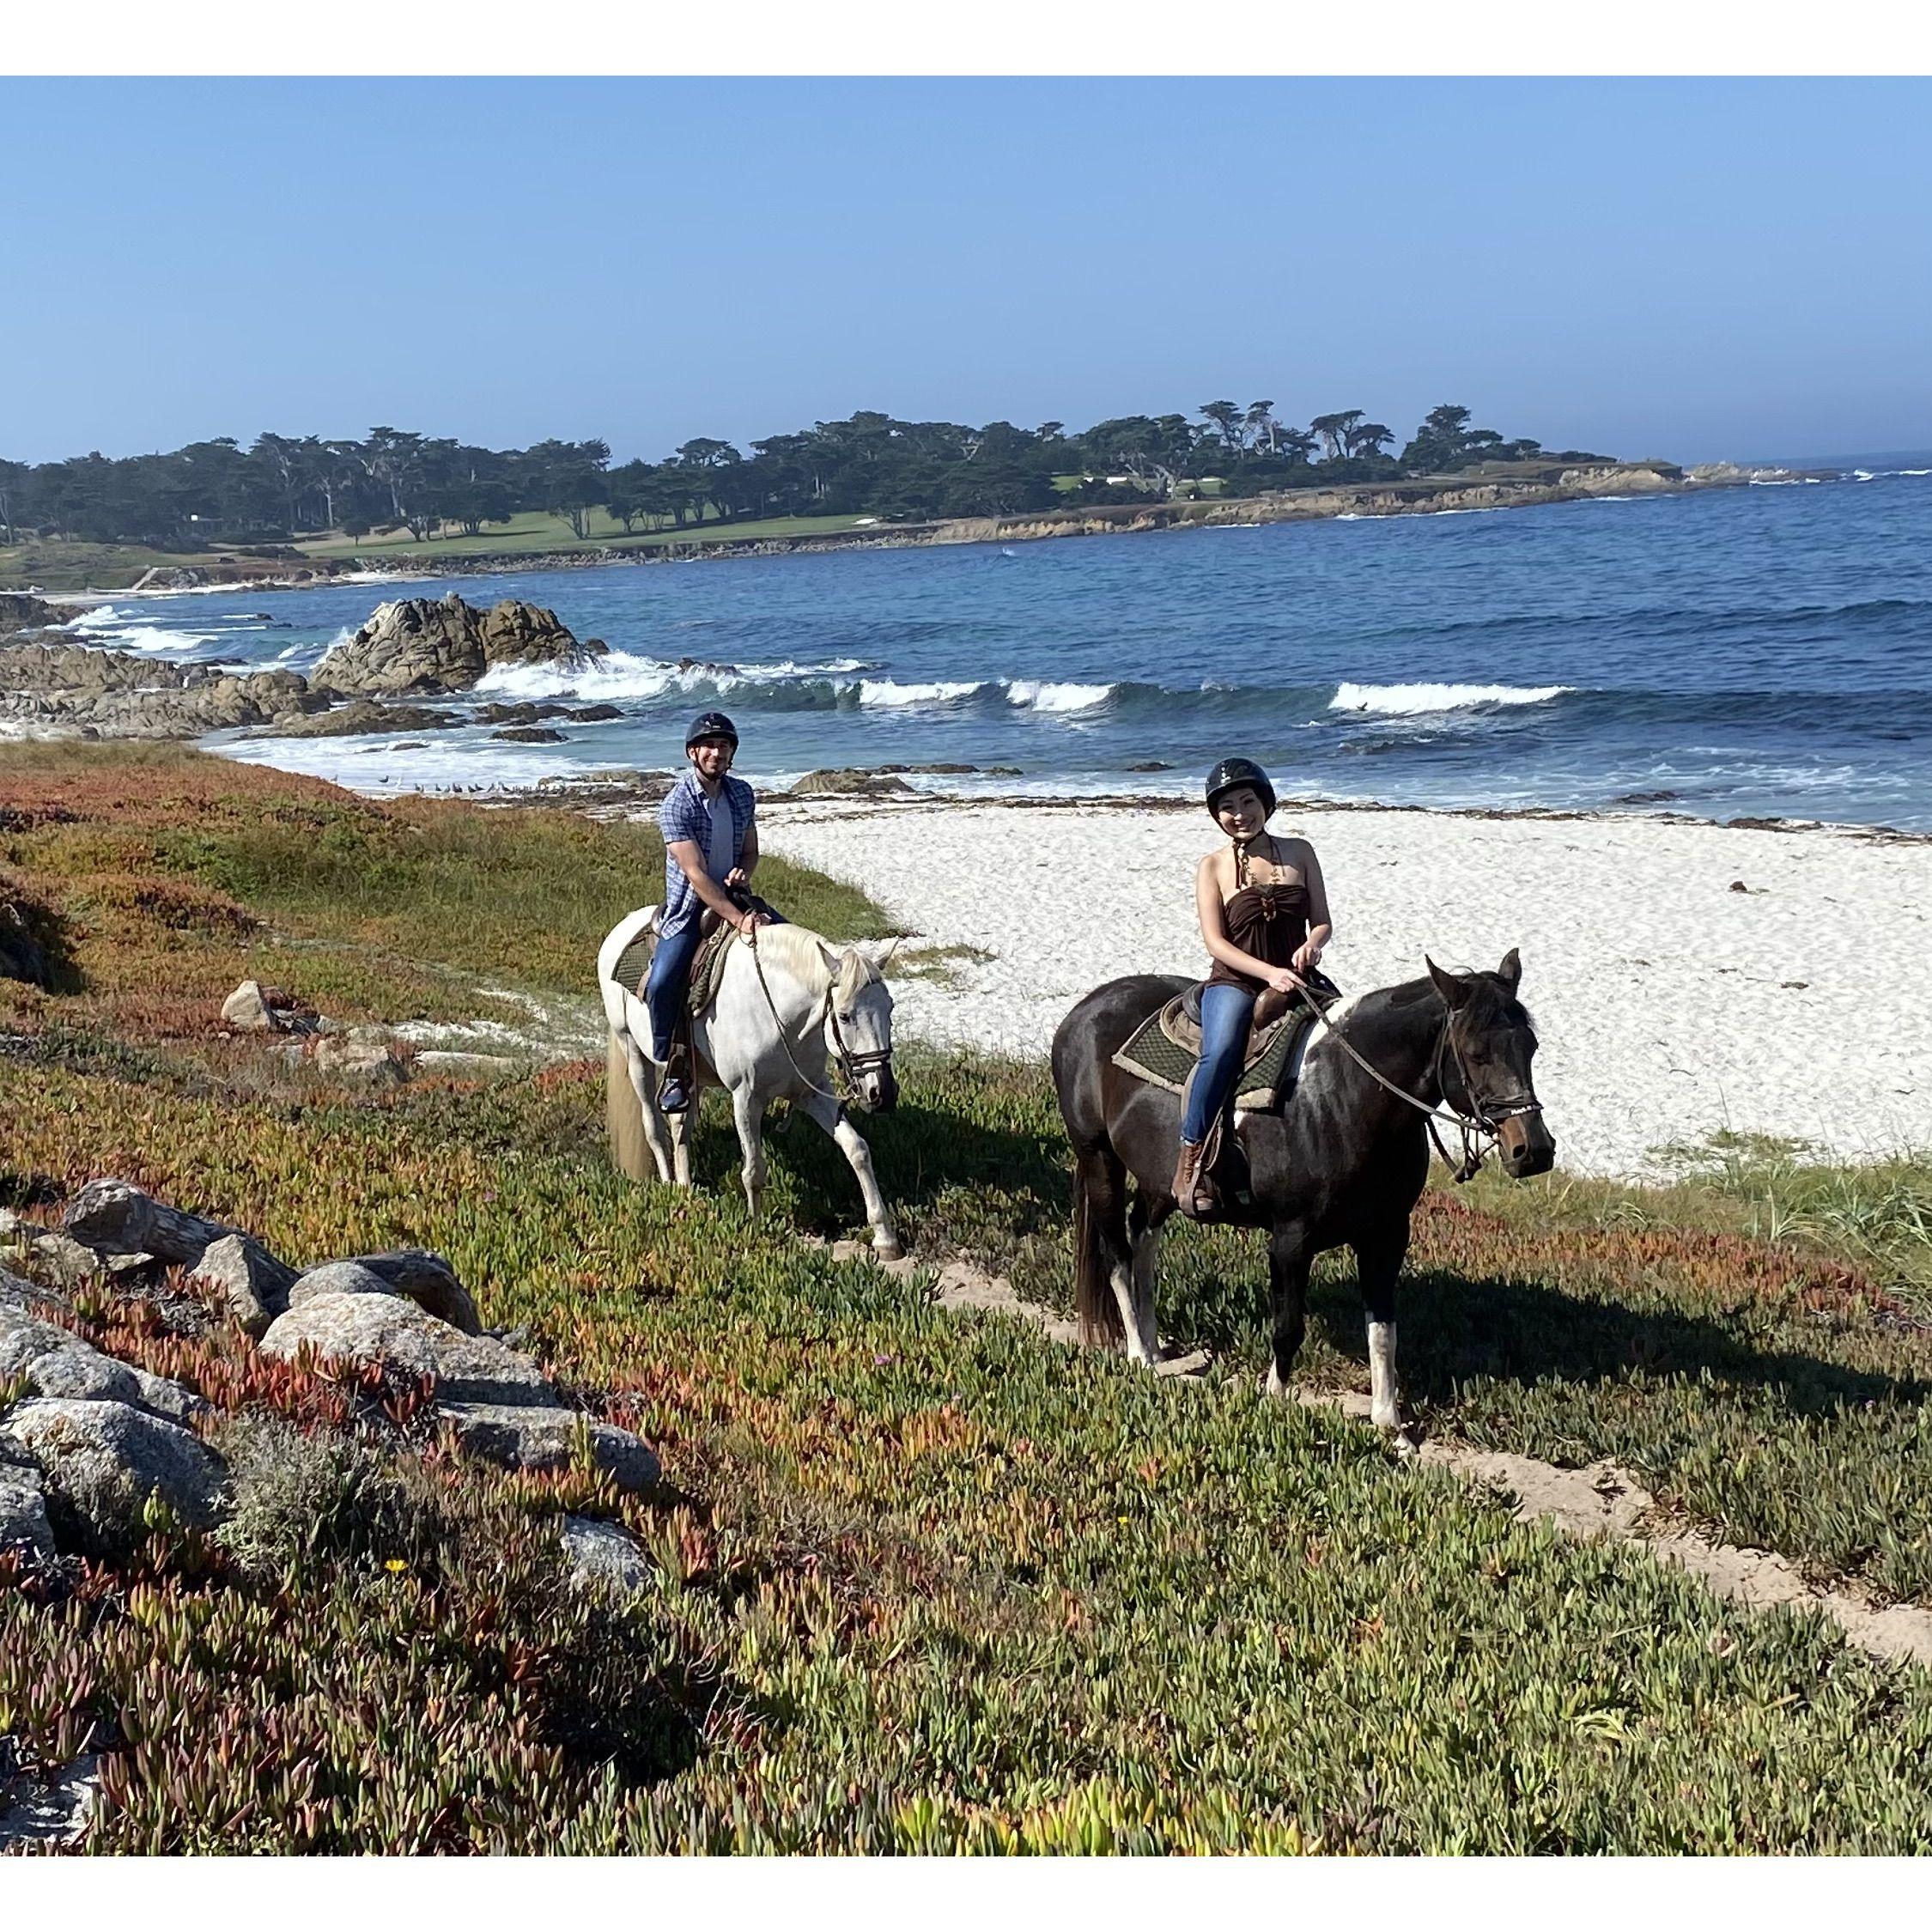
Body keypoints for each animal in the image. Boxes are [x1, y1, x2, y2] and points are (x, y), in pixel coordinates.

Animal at [595, 900, 904, 1252]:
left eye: (890, 1007)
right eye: (844, 1015)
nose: (882, 1092)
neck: (782, 1018)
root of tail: (621, 928)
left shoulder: (810, 1092)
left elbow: (858, 1149)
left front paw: (885, 1237)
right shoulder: (746, 1099)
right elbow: (753, 1170)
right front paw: (756, 1232)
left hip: (689, 1074)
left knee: (680, 1125)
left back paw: (686, 1190)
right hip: (634, 1053)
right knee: (654, 1129)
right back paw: (668, 1183)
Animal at [1051, 951, 1561, 1437]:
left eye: (1531, 1046)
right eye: (1476, 1053)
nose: (1534, 1150)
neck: (1343, 1098)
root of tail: (1083, 1011)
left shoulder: (1387, 1236)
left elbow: (1384, 1332)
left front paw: (1390, 1424)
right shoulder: (1290, 1241)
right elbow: (1288, 1328)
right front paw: (1274, 1399)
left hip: (1161, 1181)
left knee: (1143, 1238)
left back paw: (1155, 1347)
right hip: (1098, 1158)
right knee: (1117, 1251)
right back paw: (1139, 1352)